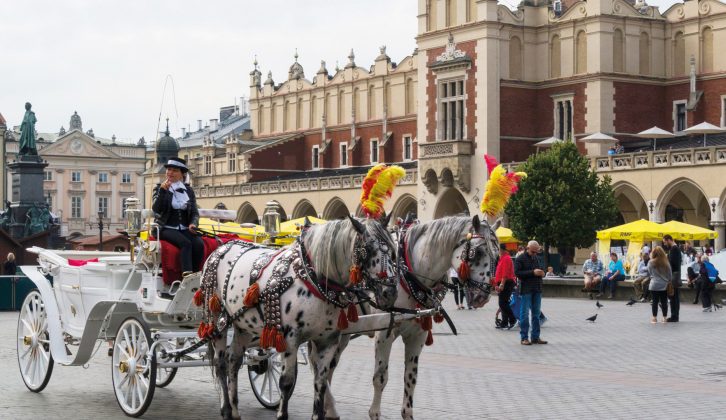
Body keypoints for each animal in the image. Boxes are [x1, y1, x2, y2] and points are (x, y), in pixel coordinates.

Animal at [202, 217, 398, 420]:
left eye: (393, 253)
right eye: (367, 250)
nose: (390, 293)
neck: (313, 278)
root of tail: (221, 247)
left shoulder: (328, 340)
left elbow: (320, 383)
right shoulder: (290, 339)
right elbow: (286, 383)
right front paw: (282, 415)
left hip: (243, 327)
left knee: (234, 359)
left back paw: (234, 410)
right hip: (217, 321)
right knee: (220, 363)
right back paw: (226, 410)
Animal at [321, 214, 499, 420]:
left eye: (498, 256)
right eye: (477, 253)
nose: (483, 296)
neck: (409, 276)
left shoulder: (418, 335)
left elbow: (410, 379)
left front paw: (407, 413)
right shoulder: (385, 334)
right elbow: (380, 377)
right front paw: (375, 413)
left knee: (327, 367)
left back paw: (328, 407)